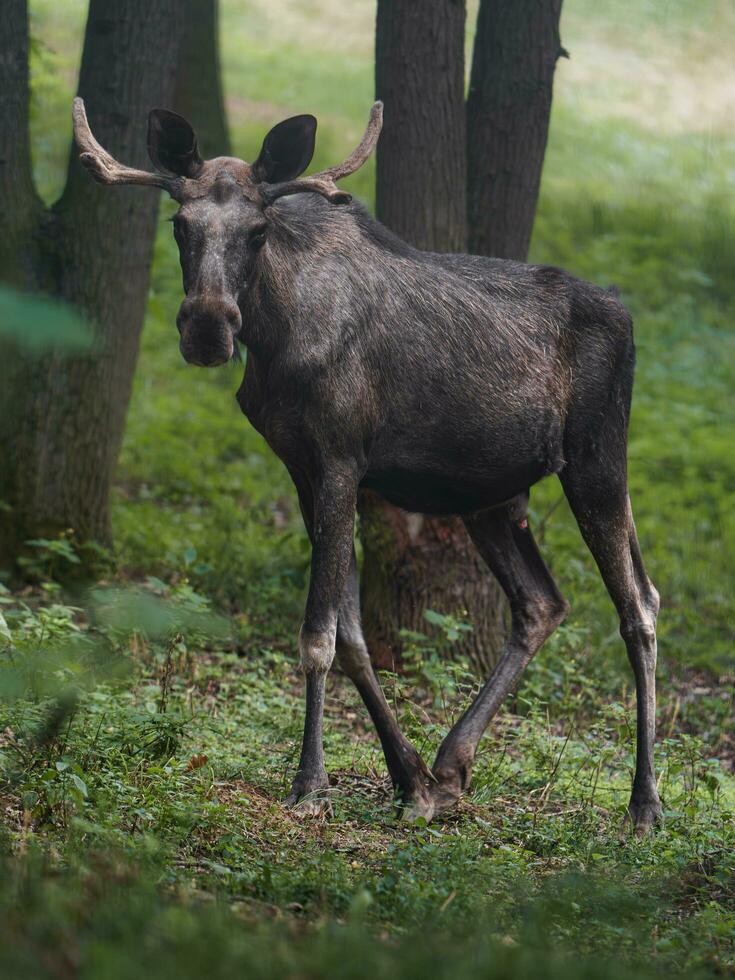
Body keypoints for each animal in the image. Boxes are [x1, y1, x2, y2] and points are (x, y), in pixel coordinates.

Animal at [73, 95, 660, 832]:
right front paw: (409, 779)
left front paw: (310, 781)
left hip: (597, 459)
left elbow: (318, 635)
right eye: (179, 224)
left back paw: (644, 802)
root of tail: (626, 313)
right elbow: (351, 635)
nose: (207, 327)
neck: (273, 335)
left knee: (639, 606)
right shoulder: (303, 470)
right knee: (542, 603)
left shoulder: (340, 460)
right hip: (490, 494)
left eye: (258, 230)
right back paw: (452, 763)